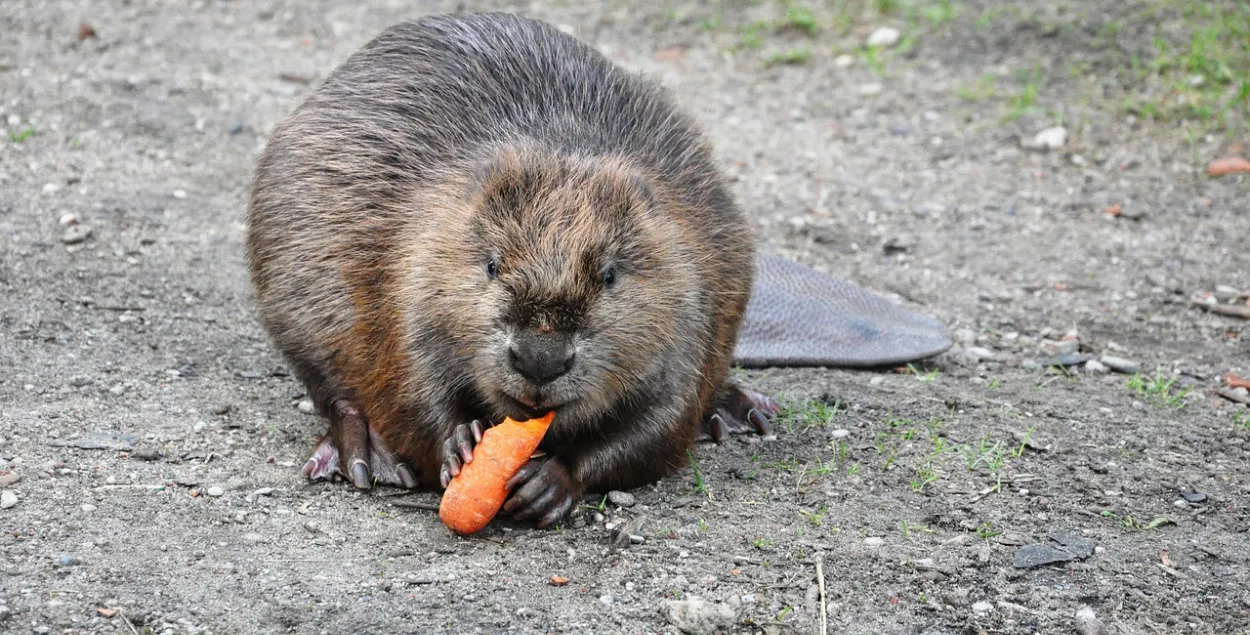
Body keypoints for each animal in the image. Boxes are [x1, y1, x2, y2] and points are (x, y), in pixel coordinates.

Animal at [243, 11, 780, 525]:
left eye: (609, 275)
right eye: (491, 264)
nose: (540, 361)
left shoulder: (691, 296)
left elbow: (663, 424)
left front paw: (549, 482)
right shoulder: (407, 275)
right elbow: (408, 391)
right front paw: (460, 444)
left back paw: (742, 411)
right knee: (331, 388)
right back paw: (363, 454)